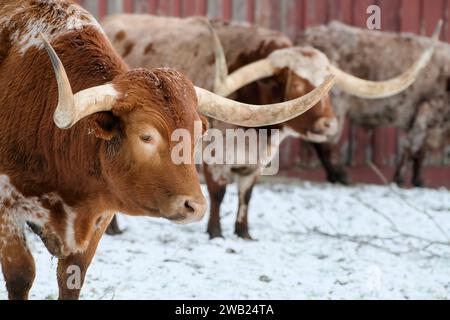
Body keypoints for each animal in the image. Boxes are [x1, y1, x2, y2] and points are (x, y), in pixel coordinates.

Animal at [0, 0, 334, 300]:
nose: (194, 207)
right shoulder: (8, 211)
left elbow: (72, 278)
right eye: (146, 136)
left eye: (197, 133)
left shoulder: (97, 219)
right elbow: (21, 275)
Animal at [298, 21, 448, 188]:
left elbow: (421, 151)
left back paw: (335, 176)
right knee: (326, 142)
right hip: (334, 105)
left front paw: (419, 180)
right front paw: (400, 179)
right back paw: (342, 176)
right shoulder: (427, 112)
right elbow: (412, 147)